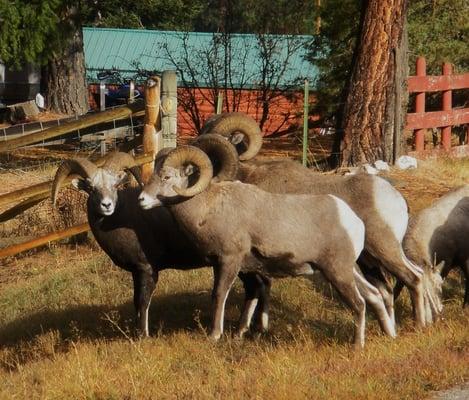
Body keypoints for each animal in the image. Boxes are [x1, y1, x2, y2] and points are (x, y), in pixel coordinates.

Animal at [138, 145, 394, 346]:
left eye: (166, 177)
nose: (142, 200)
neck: (208, 208)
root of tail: (353, 221)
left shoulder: (229, 261)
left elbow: (219, 294)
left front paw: (214, 335)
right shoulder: (231, 266)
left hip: (337, 273)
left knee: (359, 304)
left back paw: (357, 346)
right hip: (349, 271)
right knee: (374, 295)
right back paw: (389, 335)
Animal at [196, 111, 436, 330]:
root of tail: (396, 198)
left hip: (385, 250)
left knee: (414, 278)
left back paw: (419, 325)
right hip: (369, 260)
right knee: (388, 290)